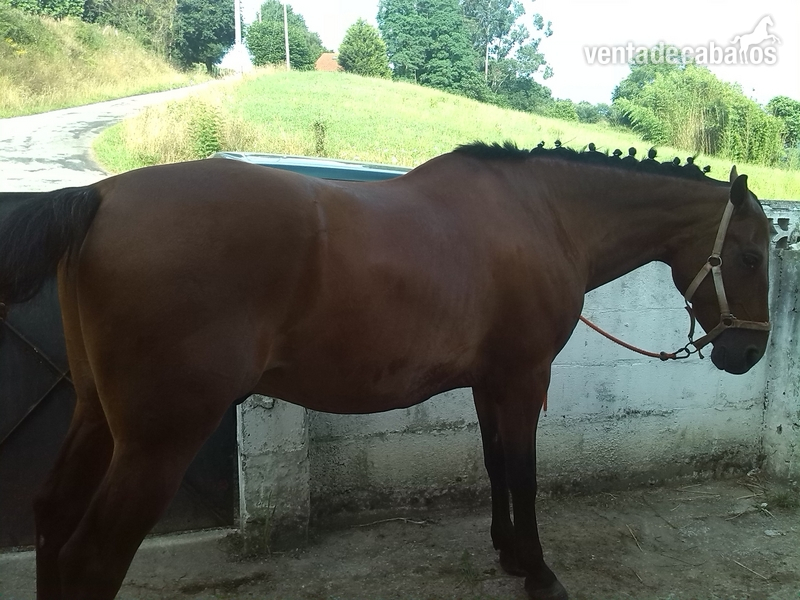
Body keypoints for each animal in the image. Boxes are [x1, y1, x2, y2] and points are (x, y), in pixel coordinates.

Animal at [0, 142, 771, 600]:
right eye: (753, 254)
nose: (750, 353)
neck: (543, 215)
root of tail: (100, 197)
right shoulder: (524, 380)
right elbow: (523, 472)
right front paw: (540, 571)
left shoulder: (488, 382)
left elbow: (496, 466)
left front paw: (509, 554)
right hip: (158, 442)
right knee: (93, 558)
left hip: (95, 414)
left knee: (52, 515)